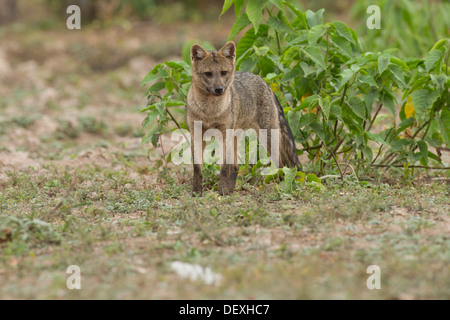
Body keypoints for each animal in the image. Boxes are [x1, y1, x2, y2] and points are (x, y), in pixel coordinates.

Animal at [185, 41, 300, 196]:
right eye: (208, 74)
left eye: (223, 72)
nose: (219, 89)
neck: (210, 111)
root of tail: (264, 81)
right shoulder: (196, 135)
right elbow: (198, 168)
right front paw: (197, 193)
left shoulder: (224, 136)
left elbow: (223, 168)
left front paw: (221, 193)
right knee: (236, 167)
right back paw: (230, 191)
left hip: (268, 138)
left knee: (280, 165)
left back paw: (279, 187)